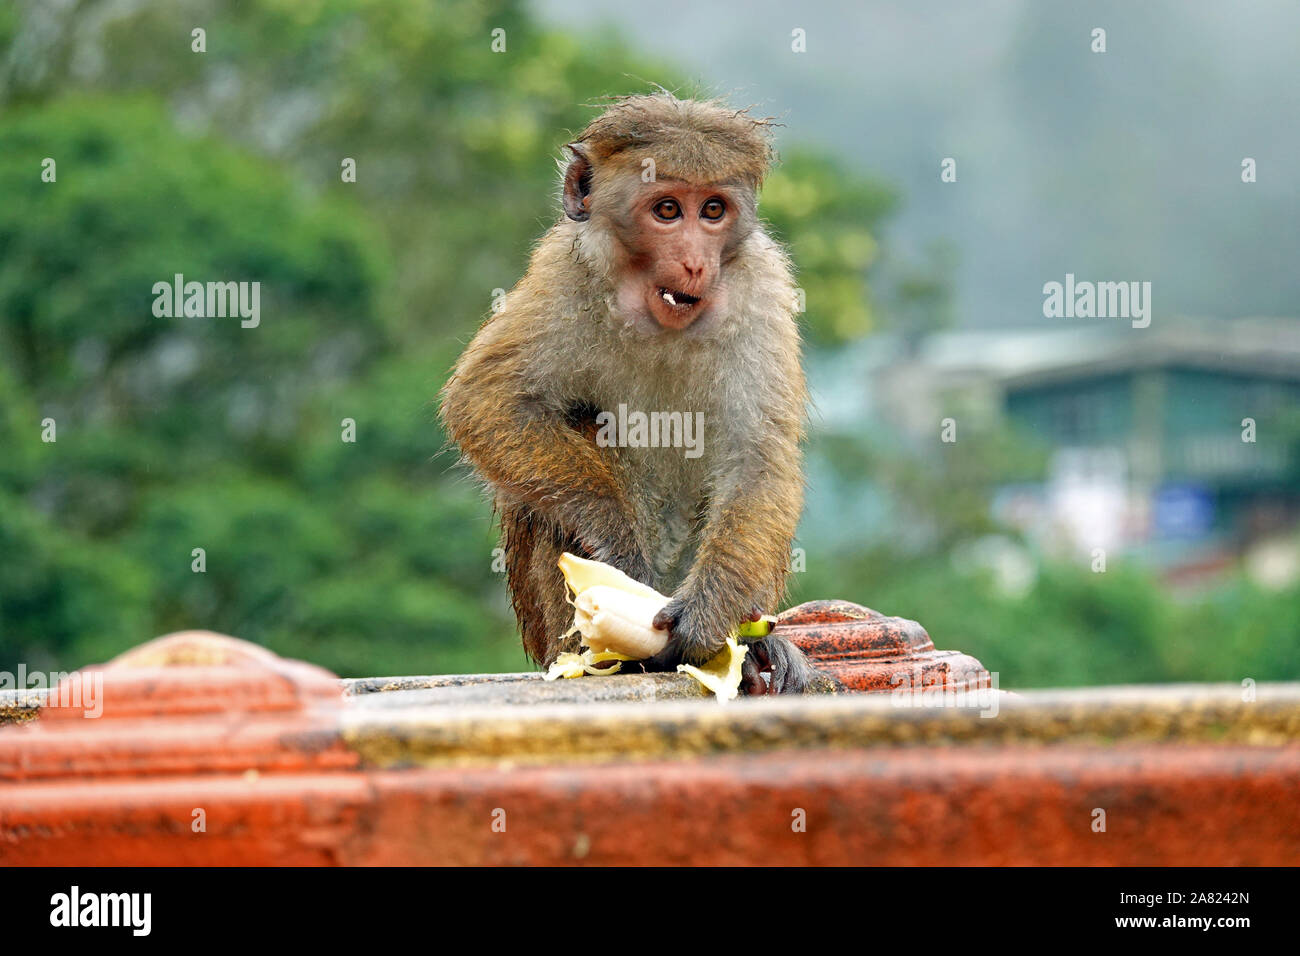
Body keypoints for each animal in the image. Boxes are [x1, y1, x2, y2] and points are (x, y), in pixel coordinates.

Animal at [439, 93, 821, 697]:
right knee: (578, 422)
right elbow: (487, 400)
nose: (695, 261)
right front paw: (612, 540)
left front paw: (708, 616)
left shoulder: (762, 284)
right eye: (666, 210)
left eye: (712, 210)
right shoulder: (563, 272)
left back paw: (756, 647)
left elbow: (757, 458)